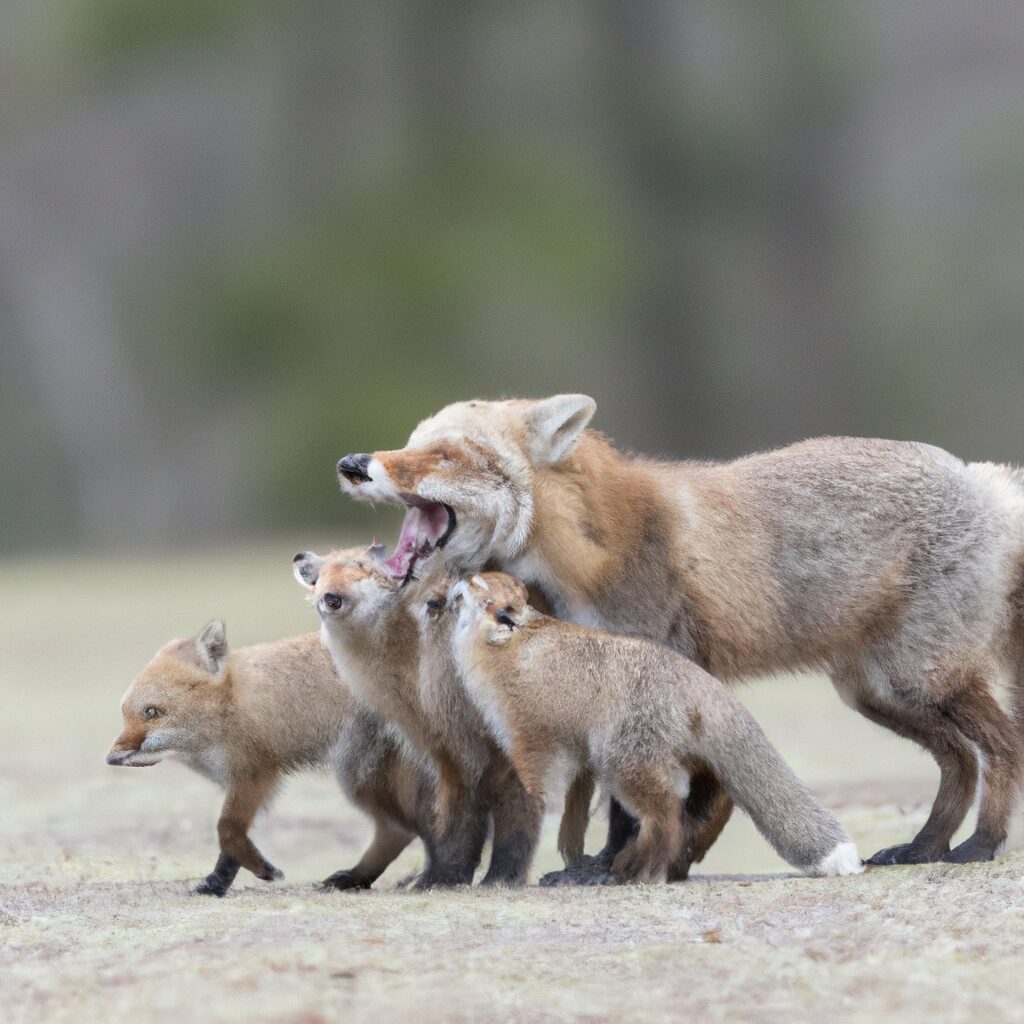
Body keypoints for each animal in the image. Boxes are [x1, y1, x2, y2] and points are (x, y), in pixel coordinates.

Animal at [339, 395, 1024, 876]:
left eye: (445, 455)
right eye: (409, 445)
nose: (352, 465)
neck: (590, 557)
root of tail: (985, 481)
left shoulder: (647, 666)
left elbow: (636, 803)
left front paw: (618, 867)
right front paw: (627, 864)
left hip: (921, 677)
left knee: (1002, 744)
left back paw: (981, 844)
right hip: (881, 693)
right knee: (961, 759)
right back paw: (926, 846)